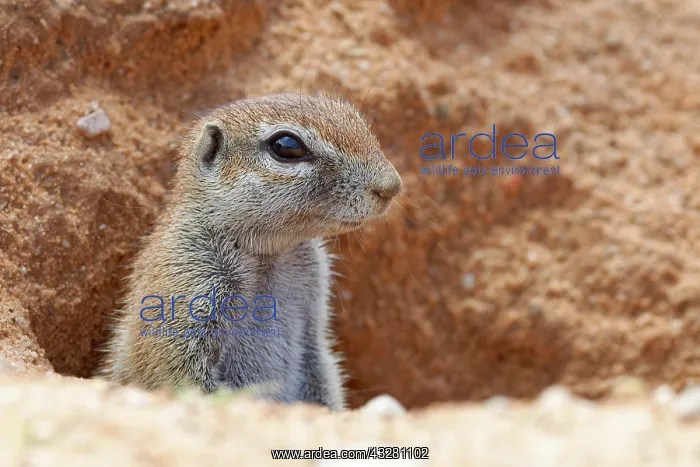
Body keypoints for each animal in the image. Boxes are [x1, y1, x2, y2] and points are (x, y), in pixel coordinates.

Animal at [97, 92, 402, 411]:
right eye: (286, 146)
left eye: (357, 120)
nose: (391, 186)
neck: (269, 254)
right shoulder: (184, 283)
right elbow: (177, 370)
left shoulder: (314, 315)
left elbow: (321, 367)